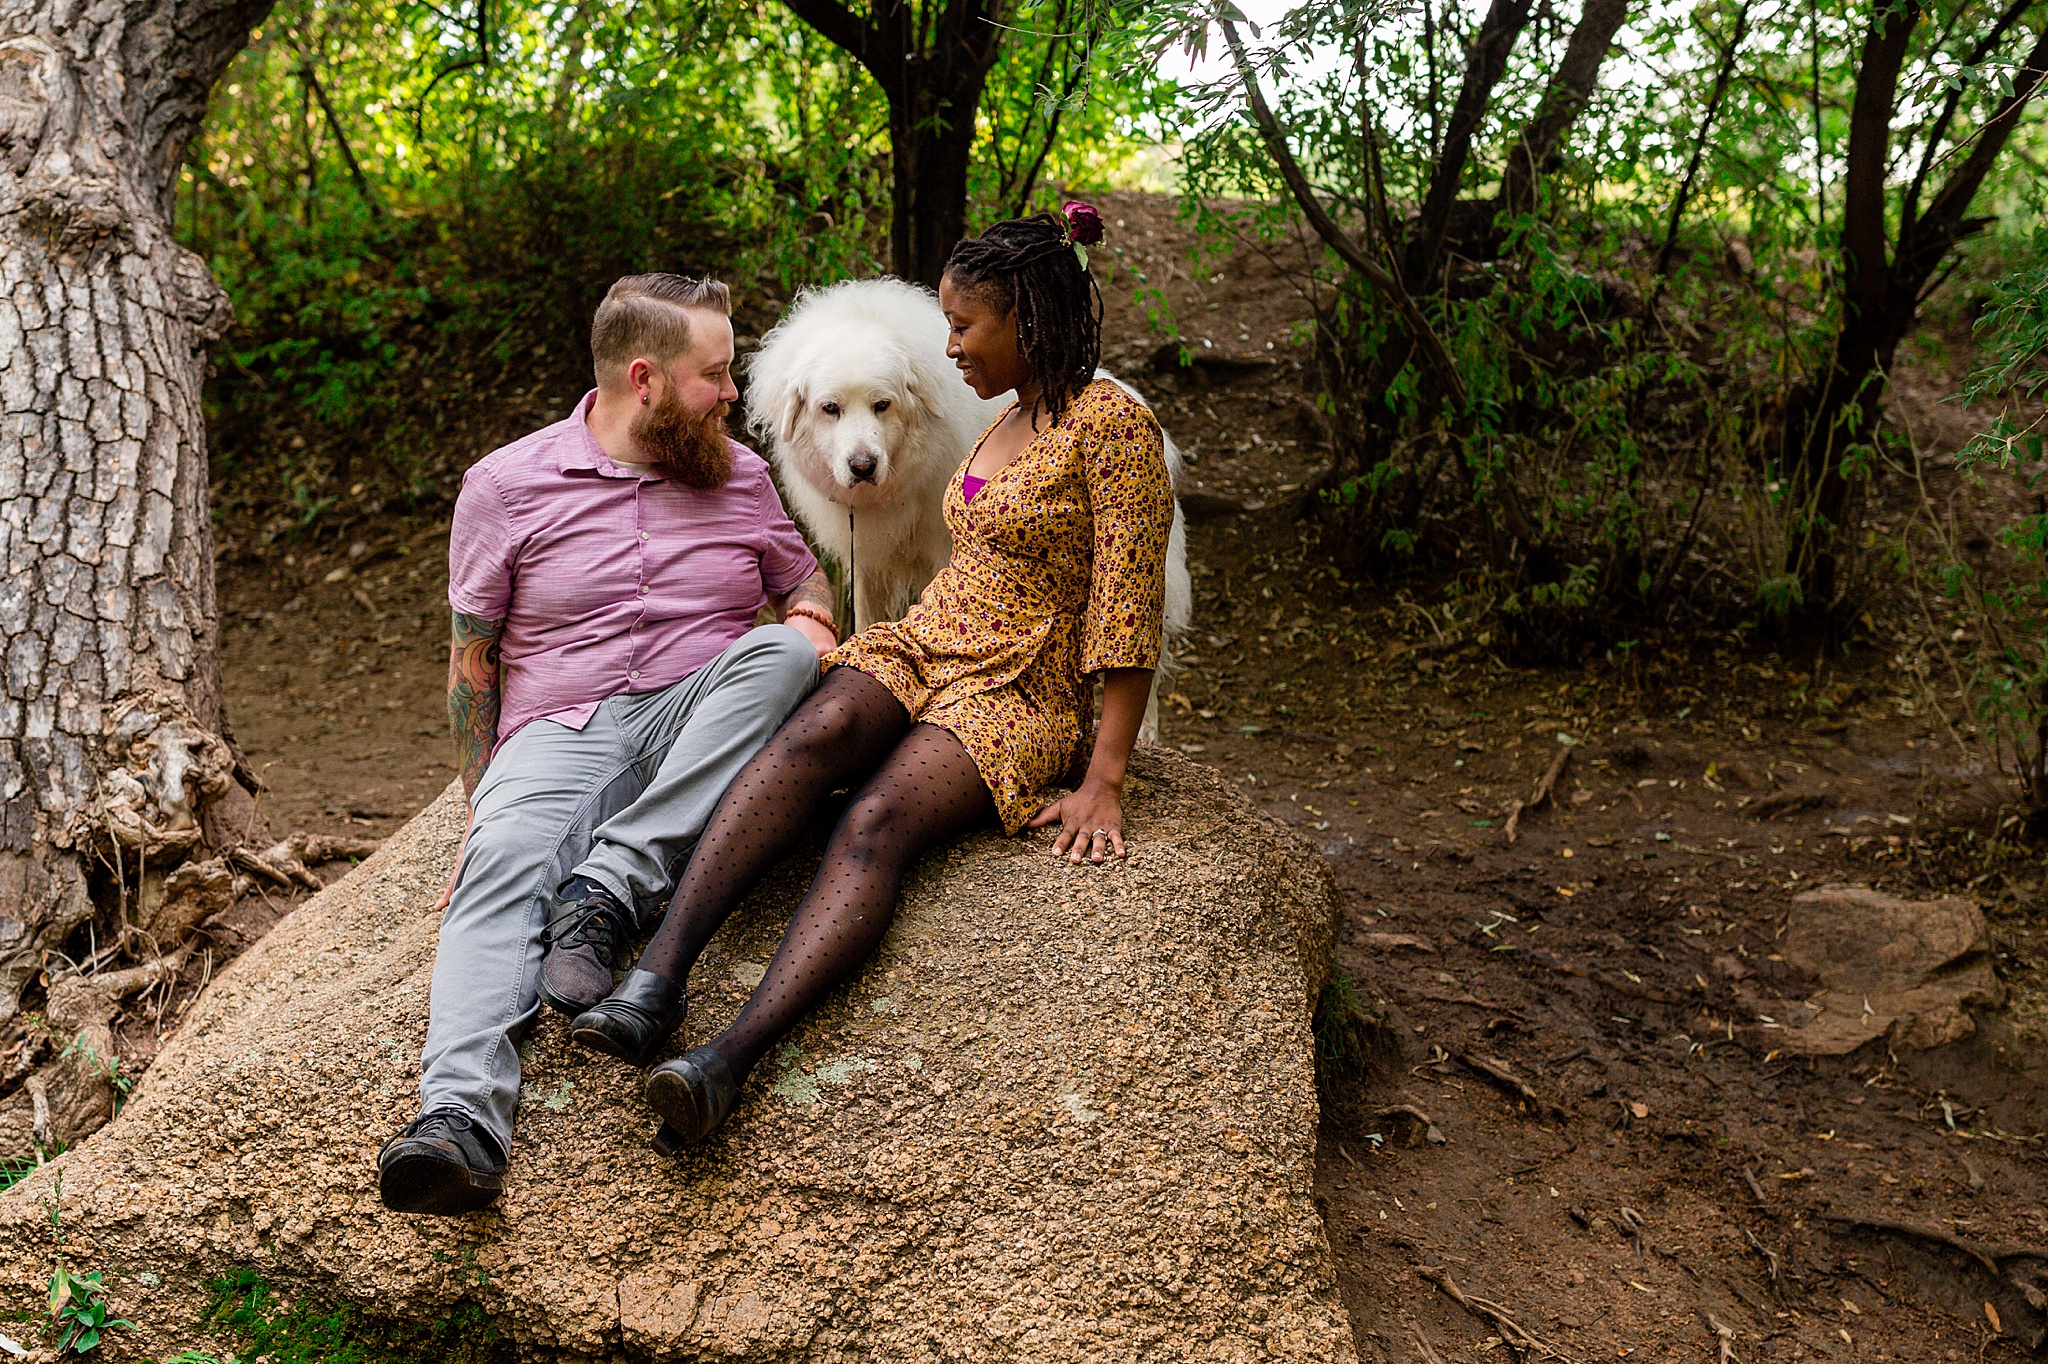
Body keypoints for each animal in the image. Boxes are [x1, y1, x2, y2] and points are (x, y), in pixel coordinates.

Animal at [745, 276, 1196, 737]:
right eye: (830, 409)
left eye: (882, 405)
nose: (863, 466)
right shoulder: (866, 553)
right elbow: (866, 614)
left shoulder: (943, 550)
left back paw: (1146, 731)